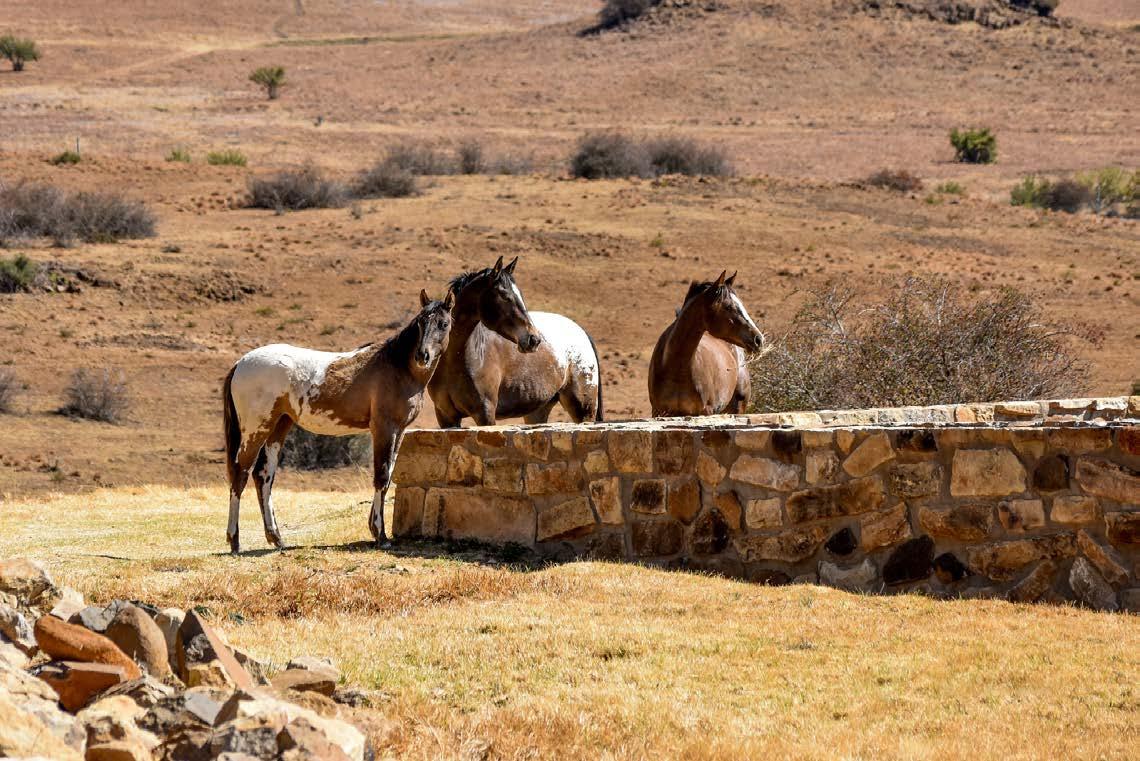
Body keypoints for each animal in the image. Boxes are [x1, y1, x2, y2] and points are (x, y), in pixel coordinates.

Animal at [222, 289, 454, 553]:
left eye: (443, 324)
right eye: (421, 322)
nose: (422, 355)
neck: (398, 367)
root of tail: (241, 363)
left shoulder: (400, 431)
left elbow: (388, 476)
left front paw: (376, 530)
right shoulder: (383, 429)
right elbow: (381, 475)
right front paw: (381, 535)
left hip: (279, 425)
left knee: (263, 475)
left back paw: (277, 539)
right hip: (256, 429)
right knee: (240, 473)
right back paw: (235, 541)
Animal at [427, 256, 604, 427]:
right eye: (505, 296)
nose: (534, 339)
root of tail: (581, 332)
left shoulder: (485, 415)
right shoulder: (446, 416)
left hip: (583, 411)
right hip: (537, 411)